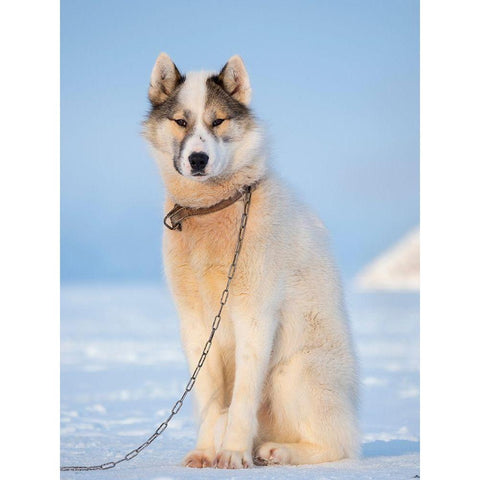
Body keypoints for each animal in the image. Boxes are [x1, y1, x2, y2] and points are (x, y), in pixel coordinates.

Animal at [144, 53, 358, 468]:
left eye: (217, 121)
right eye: (181, 122)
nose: (198, 159)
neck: (212, 209)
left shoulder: (255, 315)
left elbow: (242, 398)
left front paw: (232, 454)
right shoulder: (196, 325)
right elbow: (209, 400)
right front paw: (204, 453)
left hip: (293, 372)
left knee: (339, 445)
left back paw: (276, 451)